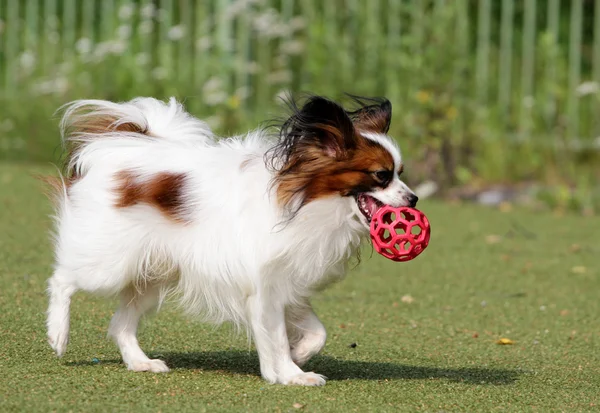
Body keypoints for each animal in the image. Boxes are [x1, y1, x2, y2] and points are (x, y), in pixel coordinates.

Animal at [44, 92, 418, 384]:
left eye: (401, 174)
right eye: (382, 176)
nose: (414, 199)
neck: (308, 202)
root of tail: (121, 148)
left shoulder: (287, 285)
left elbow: (315, 334)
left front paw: (296, 357)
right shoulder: (265, 287)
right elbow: (275, 336)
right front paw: (290, 374)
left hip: (151, 275)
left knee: (121, 323)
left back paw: (140, 363)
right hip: (108, 265)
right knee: (62, 280)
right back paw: (58, 335)